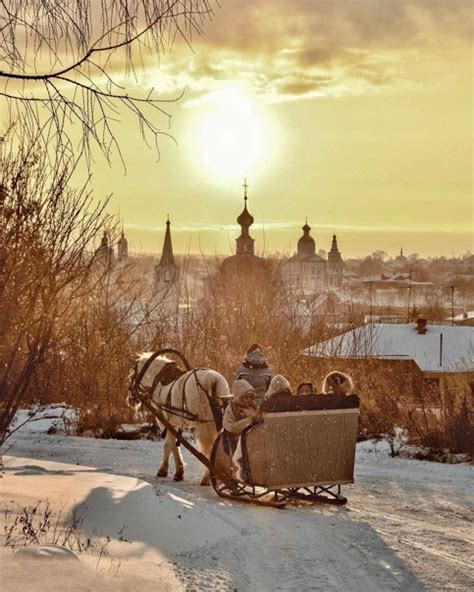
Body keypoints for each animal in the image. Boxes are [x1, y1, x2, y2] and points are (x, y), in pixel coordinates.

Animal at [126, 352, 230, 486]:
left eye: (131, 375)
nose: (129, 400)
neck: (159, 382)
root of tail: (213, 379)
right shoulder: (175, 423)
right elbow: (171, 443)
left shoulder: (164, 421)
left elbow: (170, 444)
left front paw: (175, 472)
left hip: (205, 425)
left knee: (210, 448)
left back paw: (208, 477)